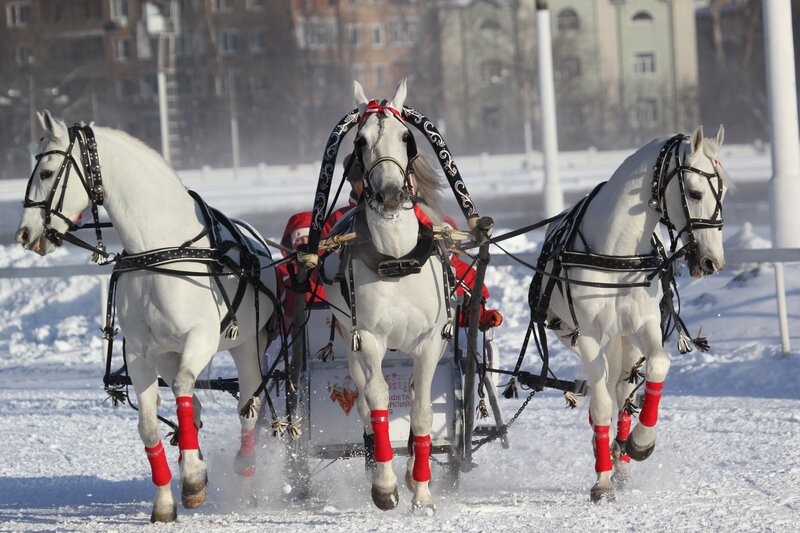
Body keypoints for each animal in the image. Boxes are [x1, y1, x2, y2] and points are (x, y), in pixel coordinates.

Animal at [15, 111, 278, 522]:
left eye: (46, 171)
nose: (25, 234)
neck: (158, 251)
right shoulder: (140, 352)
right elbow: (150, 427)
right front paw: (169, 498)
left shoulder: (201, 338)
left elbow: (185, 388)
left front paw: (192, 478)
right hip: (168, 354)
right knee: (196, 408)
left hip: (247, 347)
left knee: (246, 409)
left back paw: (244, 475)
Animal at [321, 79, 452, 511]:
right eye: (360, 141)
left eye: (406, 138)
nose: (392, 196)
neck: (396, 259)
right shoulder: (368, 338)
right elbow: (377, 400)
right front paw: (385, 486)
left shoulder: (430, 342)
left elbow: (423, 411)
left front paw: (422, 491)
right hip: (348, 337)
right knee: (363, 398)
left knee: (411, 394)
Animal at [531, 125, 727, 502]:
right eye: (695, 192)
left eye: (722, 191)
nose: (713, 261)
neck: (616, 253)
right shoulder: (588, 337)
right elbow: (600, 403)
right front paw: (602, 481)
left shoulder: (643, 326)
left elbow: (658, 366)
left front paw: (640, 442)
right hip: (579, 338)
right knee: (605, 392)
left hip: (624, 341)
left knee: (622, 390)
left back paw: (621, 455)